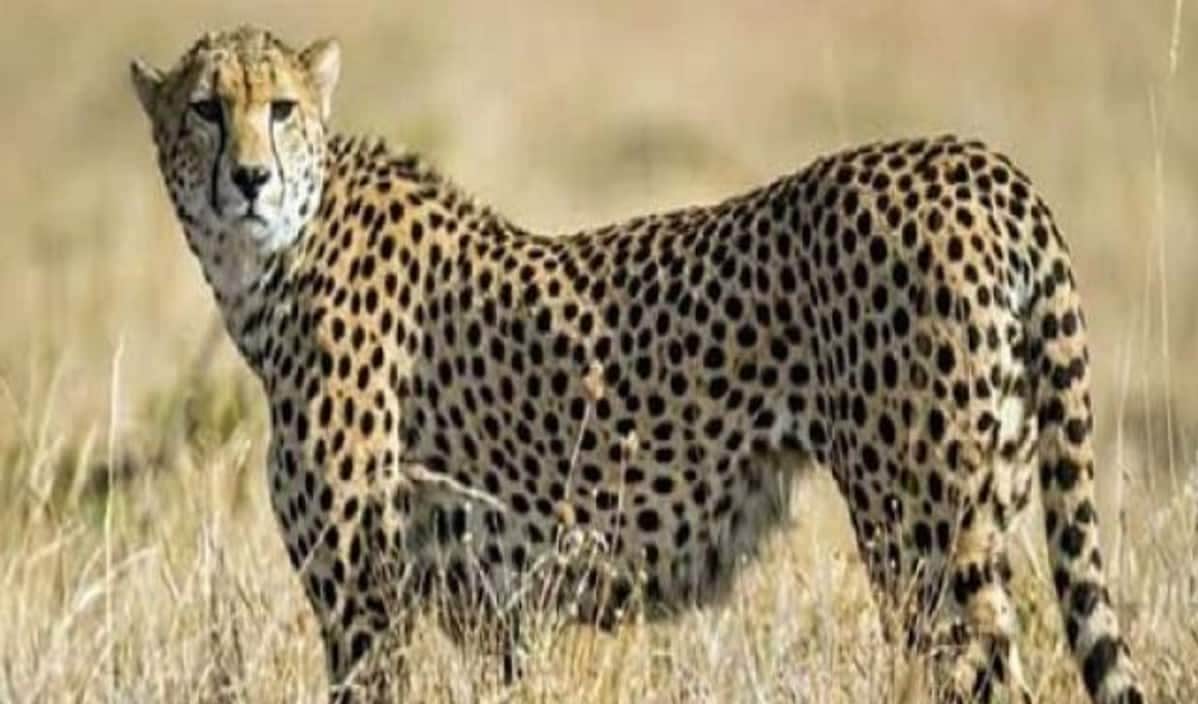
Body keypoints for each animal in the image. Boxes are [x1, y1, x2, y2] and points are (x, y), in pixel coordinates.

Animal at [130, 25, 1144, 704]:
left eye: (281, 108)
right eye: (206, 109)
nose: (251, 179)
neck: (273, 259)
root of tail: (979, 162)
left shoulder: (364, 610)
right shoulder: (494, 614)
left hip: (926, 533)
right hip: (990, 500)